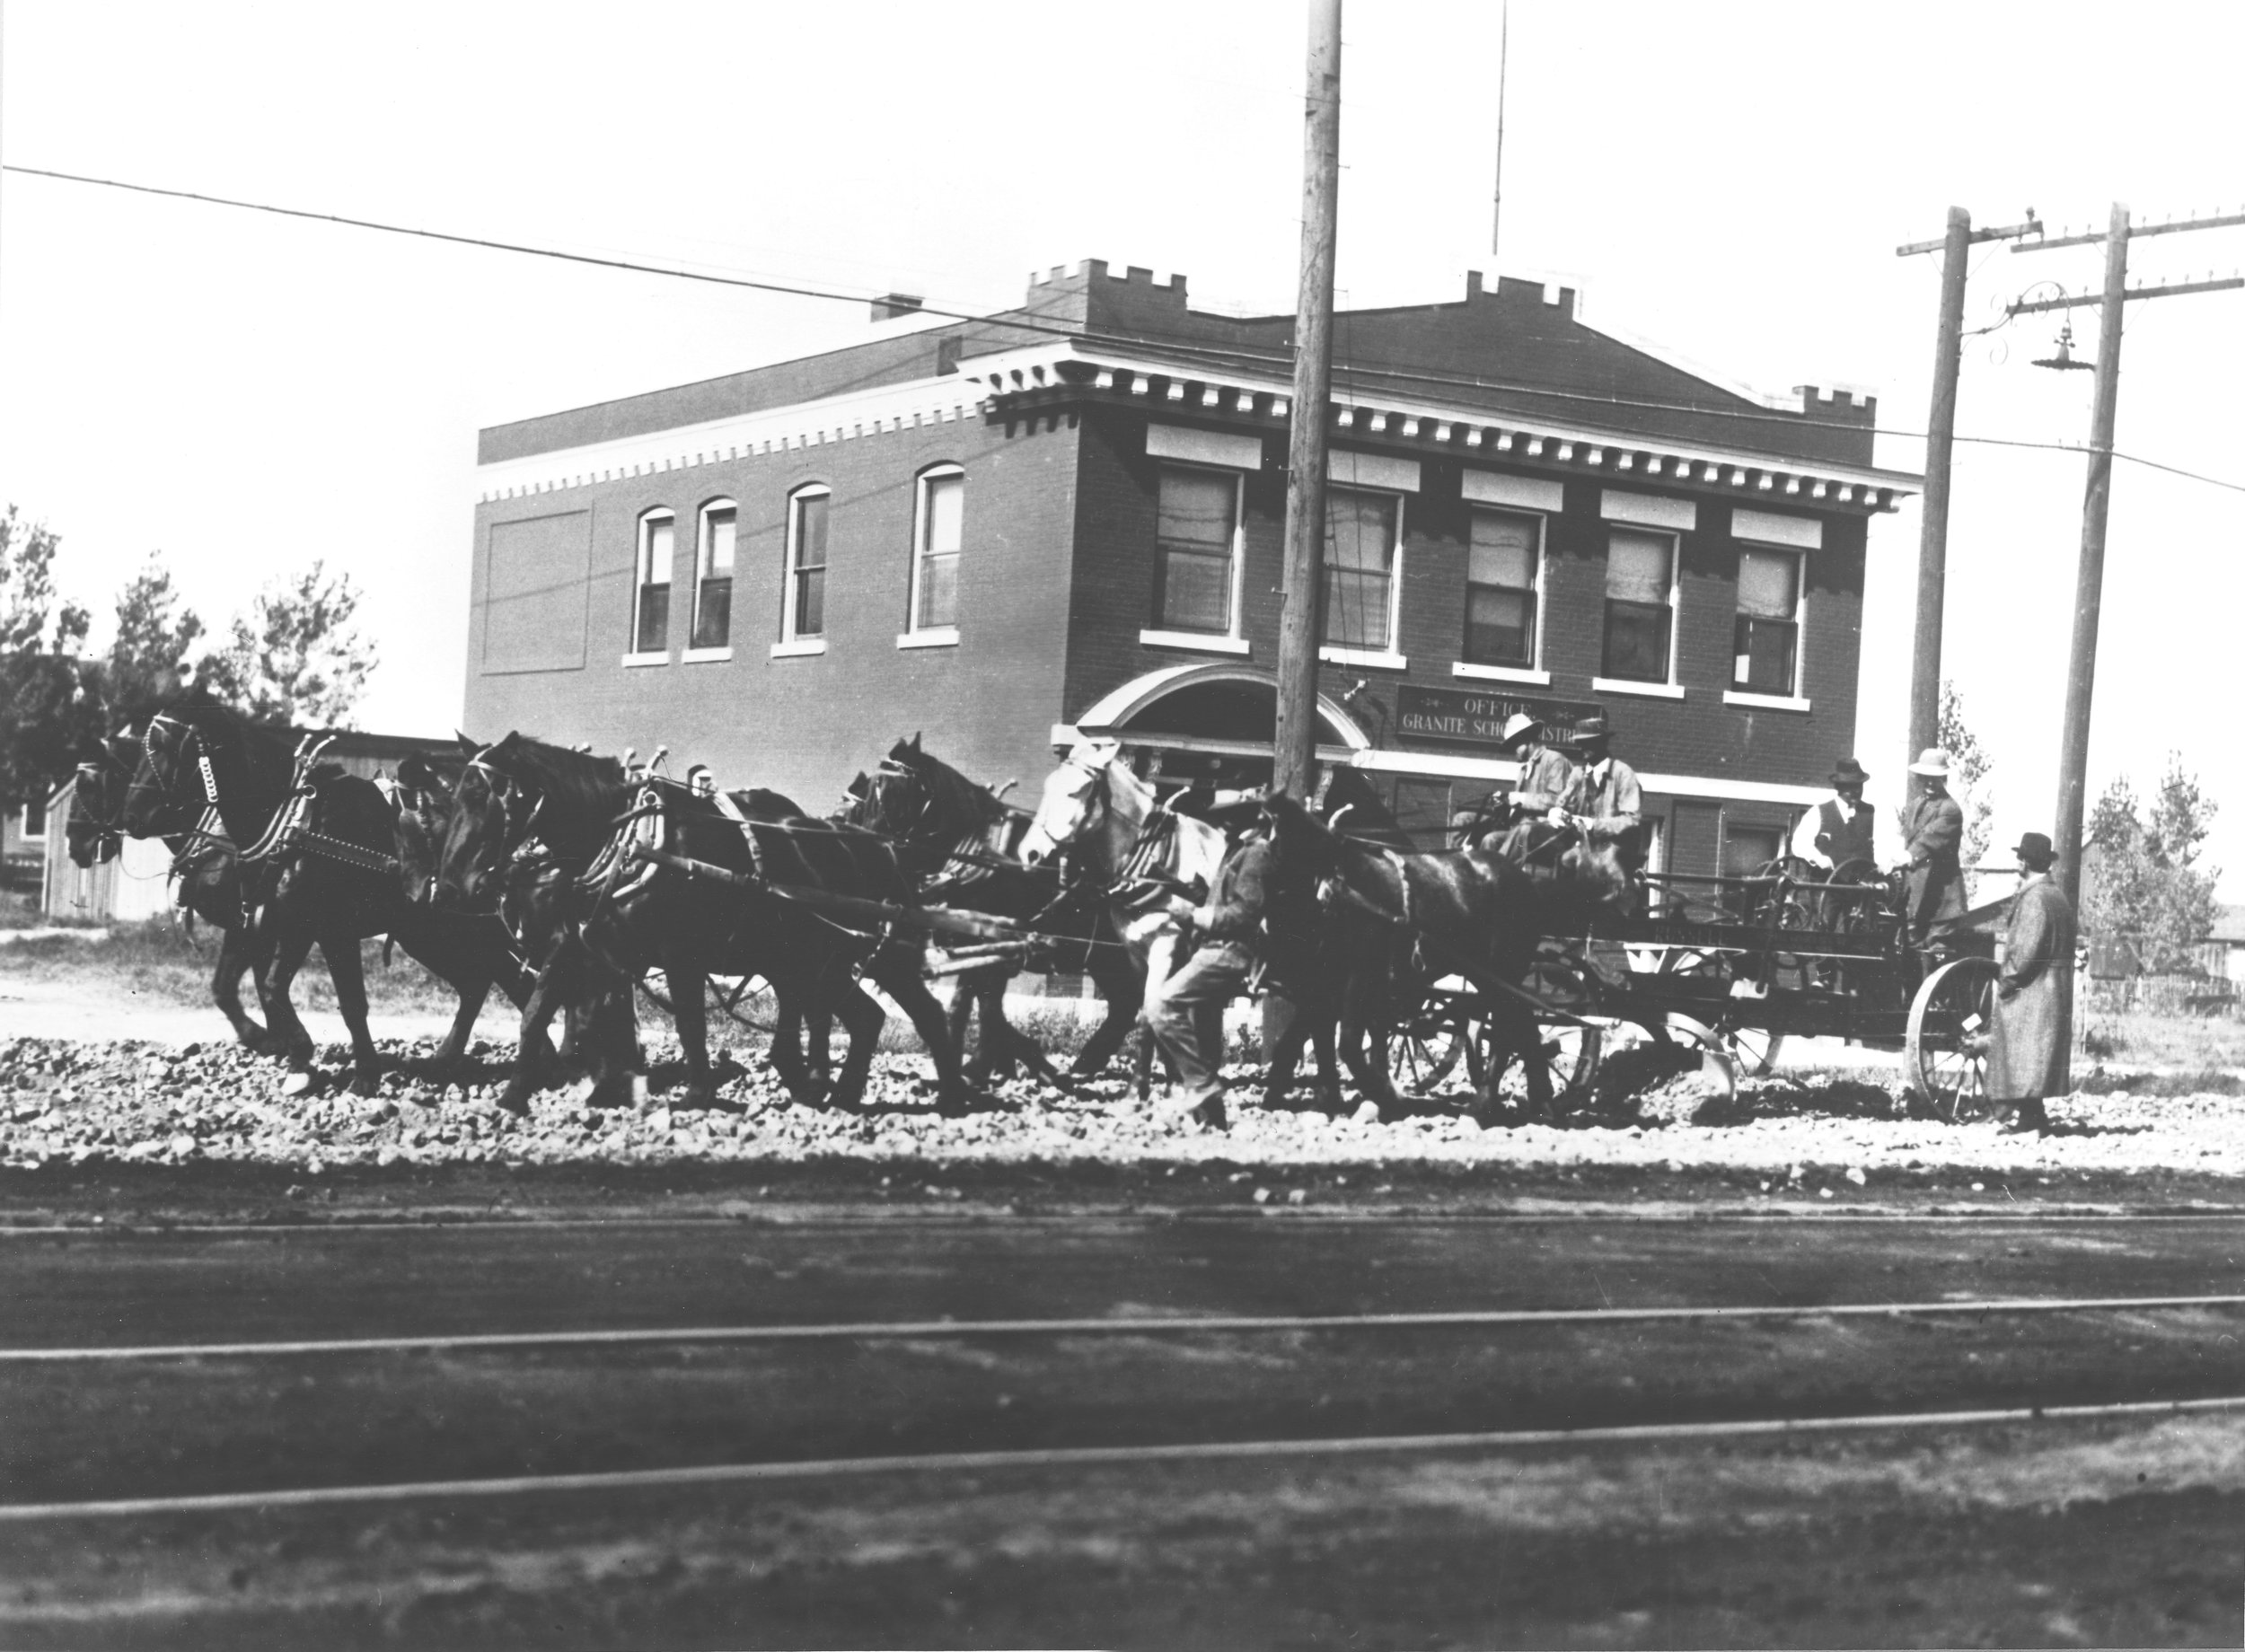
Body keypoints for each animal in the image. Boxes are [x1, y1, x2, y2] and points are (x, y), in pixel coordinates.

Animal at [64, 732, 276, 1050]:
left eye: (88, 784)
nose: (73, 844)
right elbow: (247, 988)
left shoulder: (248, 927)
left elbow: (232, 989)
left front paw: (261, 1036)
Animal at [126, 696, 534, 1095]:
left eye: (162, 747)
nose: (132, 816)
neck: (295, 822)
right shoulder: (285, 925)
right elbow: (267, 987)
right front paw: (294, 1057)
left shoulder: (330, 930)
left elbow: (348, 1004)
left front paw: (362, 1073)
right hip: (427, 932)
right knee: (484, 982)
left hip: (458, 929)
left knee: (497, 980)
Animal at [853, 736, 1149, 1086]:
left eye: (893, 789)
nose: (869, 847)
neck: (978, 855)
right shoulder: (971, 944)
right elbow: (971, 1003)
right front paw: (999, 1062)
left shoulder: (992, 942)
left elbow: (981, 1004)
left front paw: (976, 1065)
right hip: (1105, 959)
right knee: (1126, 1003)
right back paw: (1086, 1064)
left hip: (1112, 954)